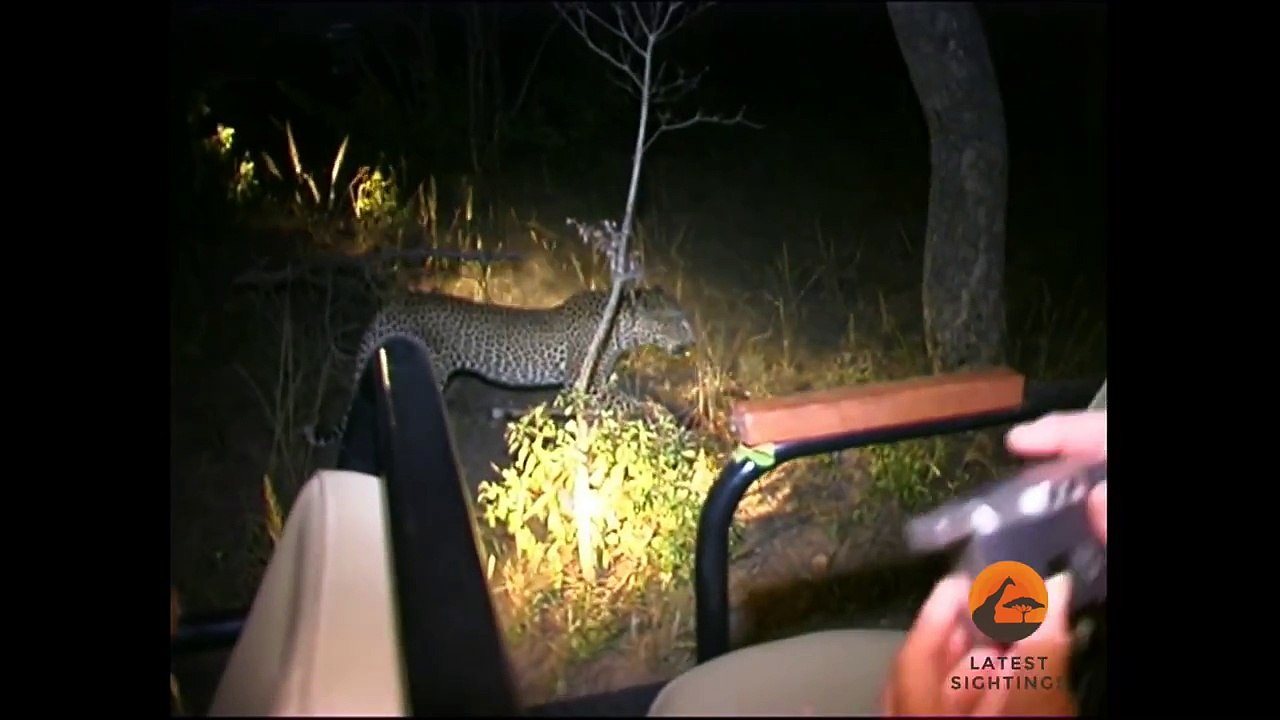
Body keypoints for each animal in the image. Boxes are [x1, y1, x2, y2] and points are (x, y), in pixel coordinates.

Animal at [303, 285, 697, 447]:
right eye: (677, 321)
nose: (693, 341)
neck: (622, 328)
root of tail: (389, 307)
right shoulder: (580, 382)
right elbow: (631, 403)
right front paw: (660, 415)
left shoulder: (597, 381)